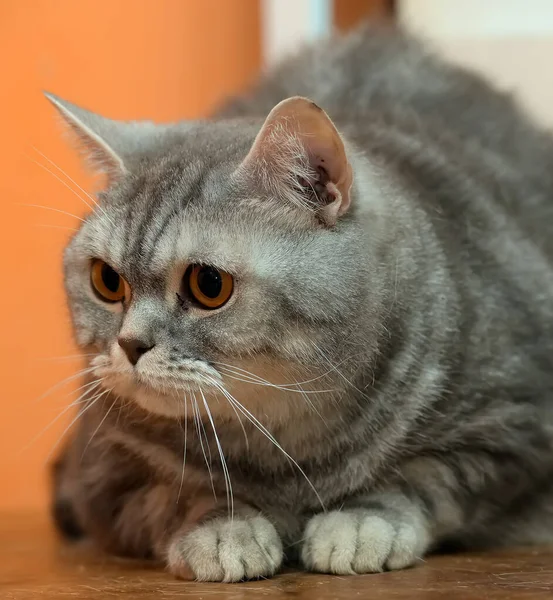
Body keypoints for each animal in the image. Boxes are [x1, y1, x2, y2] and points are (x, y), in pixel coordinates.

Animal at [47, 24, 552, 580]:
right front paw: (223, 527)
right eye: (106, 281)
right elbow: (176, 492)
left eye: (208, 285)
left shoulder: (514, 427)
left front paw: (362, 522)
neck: (284, 444)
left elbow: (424, 479)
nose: (131, 344)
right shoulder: (103, 469)